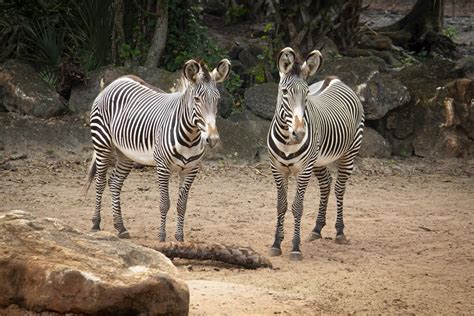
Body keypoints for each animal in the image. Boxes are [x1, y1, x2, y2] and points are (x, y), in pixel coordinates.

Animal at [86, 58, 232, 239]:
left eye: (217, 99)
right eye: (197, 99)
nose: (212, 139)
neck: (191, 137)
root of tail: (116, 81)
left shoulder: (191, 170)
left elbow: (182, 204)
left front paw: (179, 237)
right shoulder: (163, 167)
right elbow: (164, 203)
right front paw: (162, 236)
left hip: (126, 154)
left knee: (115, 182)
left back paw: (121, 227)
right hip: (102, 144)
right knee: (100, 182)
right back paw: (96, 223)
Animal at [268, 46, 364, 260]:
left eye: (306, 94)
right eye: (284, 92)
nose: (299, 133)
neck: (287, 141)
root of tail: (335, 79)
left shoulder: (303, 170)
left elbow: (297, 207)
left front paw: (295, 247)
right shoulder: (277, 169)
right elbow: (281, 205)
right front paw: (276, 244)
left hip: (349, 153)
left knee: (339, 188)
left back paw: (339, 232)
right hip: (319, 161)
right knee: (326, 184)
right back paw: (317, 229)